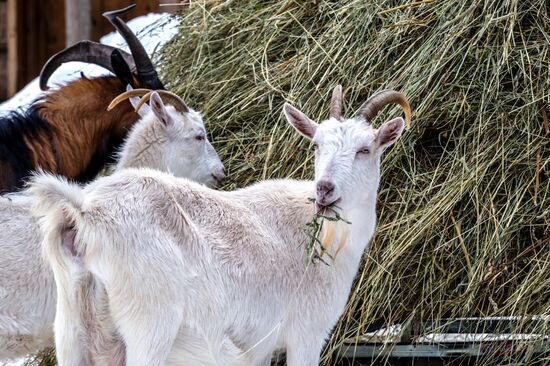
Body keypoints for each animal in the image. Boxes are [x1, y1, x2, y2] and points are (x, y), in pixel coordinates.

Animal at [29, 86, 410, 366]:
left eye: (365, 149)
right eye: (316, 145)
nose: (325, 190)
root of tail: (85, 212)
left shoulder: (259, 346)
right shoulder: (306, 333)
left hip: (71, 330)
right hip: (149, 327)